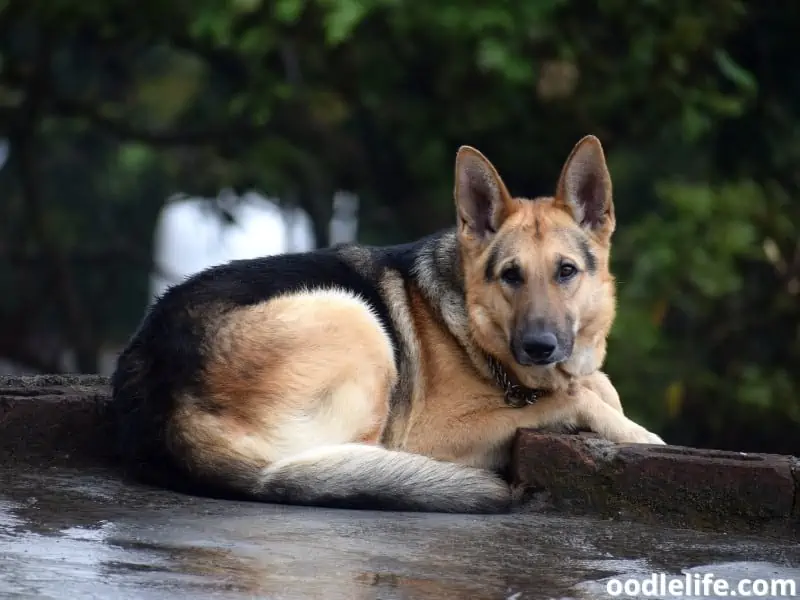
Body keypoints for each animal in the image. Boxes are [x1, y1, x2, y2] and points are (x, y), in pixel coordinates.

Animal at [111, 137, 664, 516]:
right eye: (511, 275)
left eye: (566, 272)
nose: (539, 347)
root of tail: (166, 406)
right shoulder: (433, 432)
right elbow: (574, 397)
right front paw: (639, 433)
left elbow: (595, 384)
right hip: (354, 317)